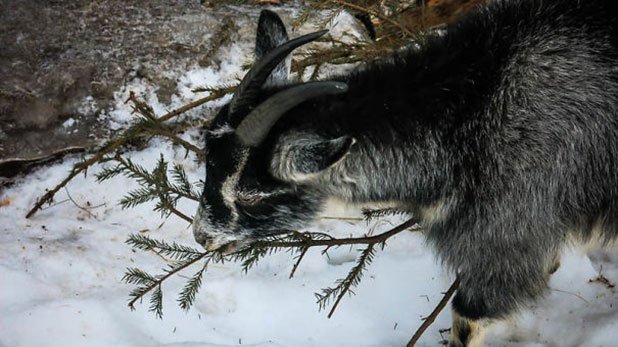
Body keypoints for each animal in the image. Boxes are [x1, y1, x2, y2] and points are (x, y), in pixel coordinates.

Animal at [192, 1, 616, 346]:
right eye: (209, 159)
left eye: (251, 194)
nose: (202, 235)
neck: (474, 108)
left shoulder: (510, 231)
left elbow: (469, 317)